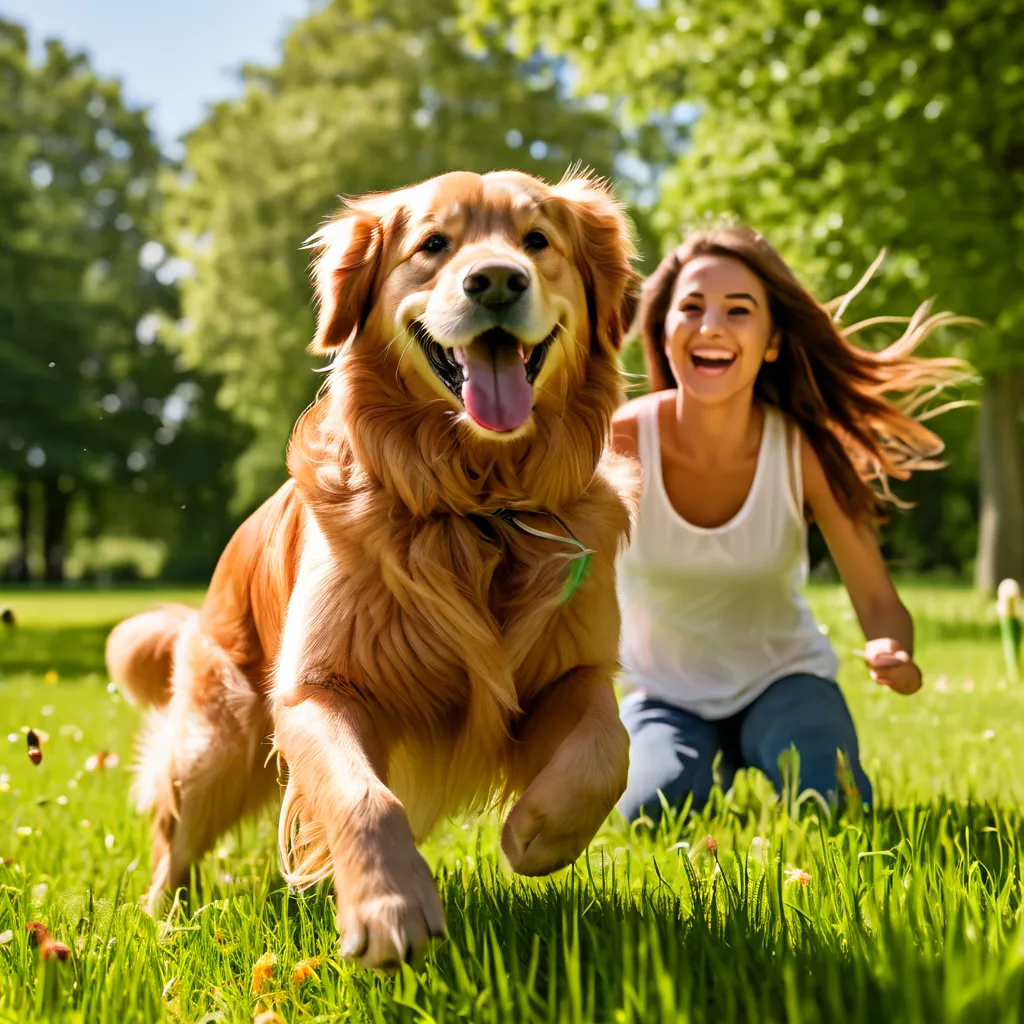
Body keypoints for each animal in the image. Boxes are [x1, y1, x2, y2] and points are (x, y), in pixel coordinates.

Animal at [103, 167, 638, 966]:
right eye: (433, 245)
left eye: (537, 240)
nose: (497, 281)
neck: (476, 508)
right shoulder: (317, 689)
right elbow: (362, 796)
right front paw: (390, 906)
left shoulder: (571, 672)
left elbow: (610, 747)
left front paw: (539, 831)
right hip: (214, 743)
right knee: (174, 836)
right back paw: (164, 924)